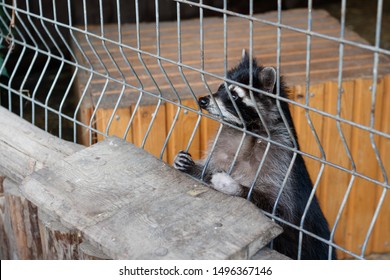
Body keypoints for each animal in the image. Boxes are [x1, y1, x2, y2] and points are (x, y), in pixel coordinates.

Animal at [174, 50, 336, 260]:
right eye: (221, 87)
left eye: (235, 95)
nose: (202, 100)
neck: (247, 130)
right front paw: (193, 166)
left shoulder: (279, 158)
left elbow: (280, 211)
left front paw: (233, 186)